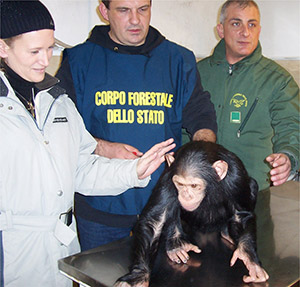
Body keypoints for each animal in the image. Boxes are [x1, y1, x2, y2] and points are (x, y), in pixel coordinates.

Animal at [115, 141, 270, 286]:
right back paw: (176, 244)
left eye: (194, 185)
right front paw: (138, 276)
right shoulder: (168, 177)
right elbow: (155, 221)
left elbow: (240, 215)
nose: (186, 195)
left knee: (252, 184)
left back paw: (227, 233)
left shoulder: (236, 177)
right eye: (180, 184)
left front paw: (249, 258)